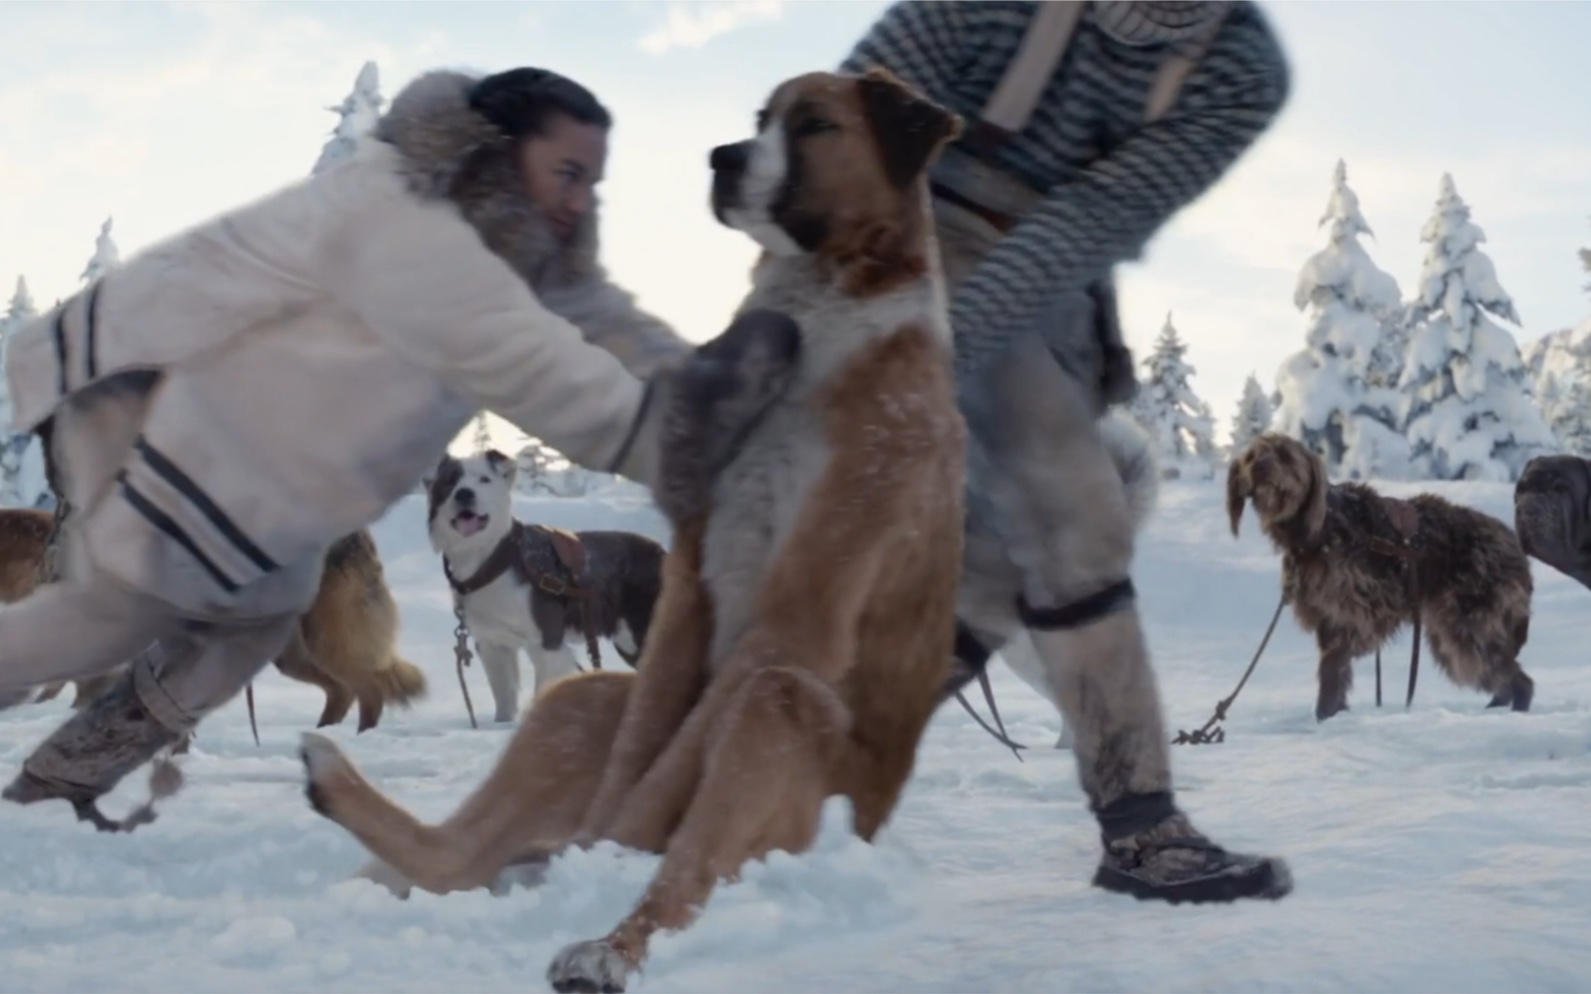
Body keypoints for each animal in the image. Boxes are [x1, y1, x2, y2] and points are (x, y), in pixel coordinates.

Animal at [423, 448, 665, 722]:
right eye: (450, 481)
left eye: (484, 479)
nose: (464, 493)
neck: (495, 558)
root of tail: (664, 553)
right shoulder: (492, 644)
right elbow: (504, 698)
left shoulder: (547, 642)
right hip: (628, 641)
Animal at [1228, 432, 1527, 722]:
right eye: (1250, 456)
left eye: (1285, 455)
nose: (1258, 467)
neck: (1319, 528)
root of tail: (1514, 544)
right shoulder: (1329, 620)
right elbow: (1335, 674)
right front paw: (1335, 715)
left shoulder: (1349, 615)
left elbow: (1330, 673)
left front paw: (1323, 719)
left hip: (1466, 626)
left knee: (1520, 680)